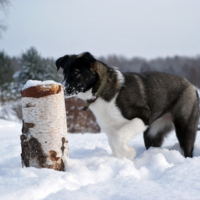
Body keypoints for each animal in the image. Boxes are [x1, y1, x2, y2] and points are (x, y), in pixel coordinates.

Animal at [55, 52, 199, 159]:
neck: (101, 90)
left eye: (76, 73)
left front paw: (130, 153)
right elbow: (114, 145)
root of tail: (191, 86)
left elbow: (118, 138)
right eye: (64, 73)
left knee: (188, 149)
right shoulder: (110, 129)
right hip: (153, 133)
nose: (62, 88)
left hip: (184, 127)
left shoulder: (143, 117)